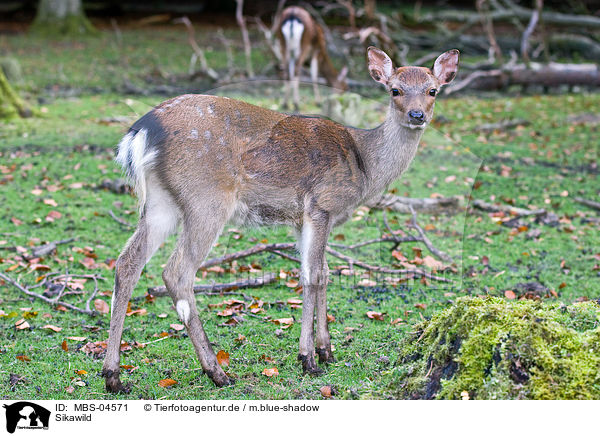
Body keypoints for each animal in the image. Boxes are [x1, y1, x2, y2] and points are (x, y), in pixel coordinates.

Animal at [103, 45, 460, 392]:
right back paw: (217, 372)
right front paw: (308, 359)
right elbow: (313, 275)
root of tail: (141, 132)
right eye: (395, 90)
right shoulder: (321, 204)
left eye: (432, 90)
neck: (364, 167)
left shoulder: (302, 219)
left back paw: (113, 376)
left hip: (161, 202)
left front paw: (326, 350)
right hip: (206, 198)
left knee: (127, 262)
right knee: (177, 271)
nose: (417, 115)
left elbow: (324, 273)